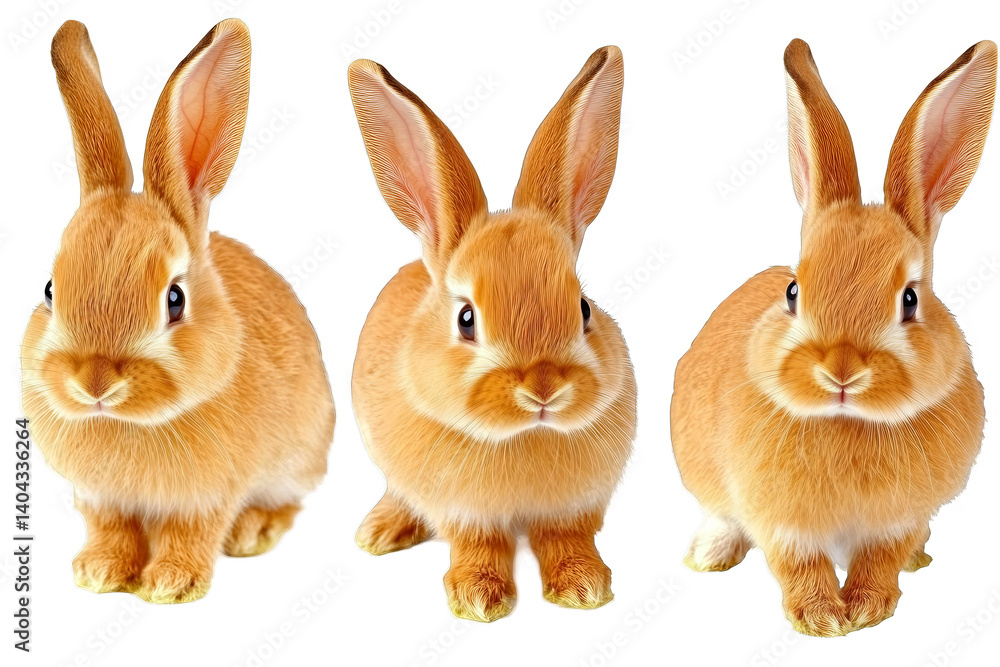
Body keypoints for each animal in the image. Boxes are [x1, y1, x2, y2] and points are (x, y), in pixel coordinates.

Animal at [19, 19, 335, 604]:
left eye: (175, 299)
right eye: (50, 290)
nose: (94, 382)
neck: (125, 422)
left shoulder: (208, 496)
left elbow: (192, 534)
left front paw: (170, 584)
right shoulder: (99, 499)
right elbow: (111, 530)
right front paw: (99, 573)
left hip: (297, 457)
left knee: (287, 503)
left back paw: (253, 532)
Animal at [347, 46, 636, 622]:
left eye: (583, 308)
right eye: (466, 319)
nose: (543, 388)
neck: (525, 435)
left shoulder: (573, 510)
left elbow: (567, 540)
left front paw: (584, 588)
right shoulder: (464, 512)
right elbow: (477, 546)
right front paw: (479, 597)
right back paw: (379, 532)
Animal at [671, 38, 996, 636]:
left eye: (910, 299)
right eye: (794, 291)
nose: (841, 371)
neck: (848, 422)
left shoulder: (899, 520)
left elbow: (882, 558)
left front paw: (867, 608)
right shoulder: (782, 521)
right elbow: (796, 562)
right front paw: (821, 618)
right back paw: (707, 555)